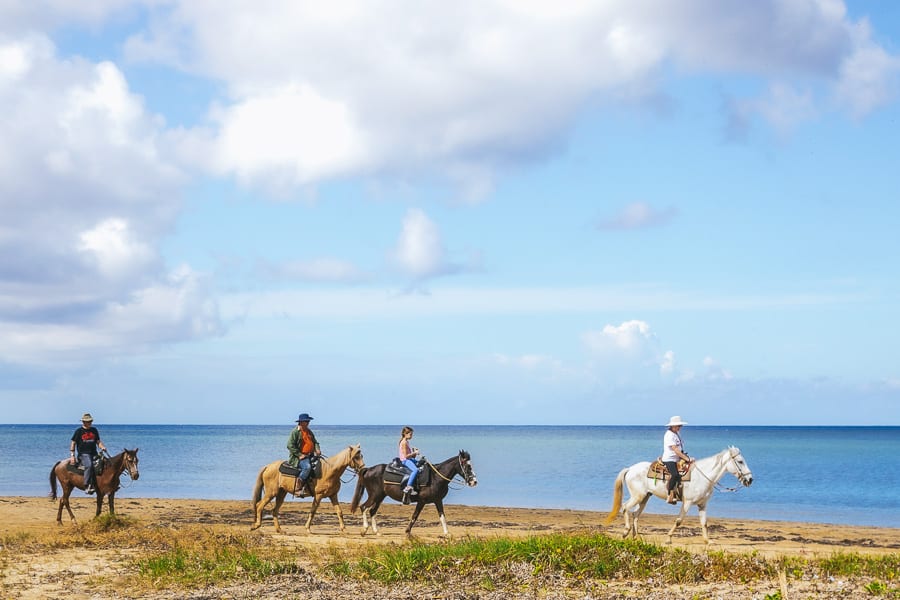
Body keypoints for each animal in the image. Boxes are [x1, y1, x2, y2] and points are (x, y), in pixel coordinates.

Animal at [350, 450, 478, 540]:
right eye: (468, 466)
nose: (474, 482)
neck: (436, 477)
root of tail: (368, 469)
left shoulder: (438, 500)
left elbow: (442, 517)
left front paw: (447, 533)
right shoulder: (422, 501)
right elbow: (415, 516)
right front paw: (407, 532)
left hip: (380, 496)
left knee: (372, 511)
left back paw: (376, 532)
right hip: (374, 495)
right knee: (363, 507)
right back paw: (364, 530)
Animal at [604, 446, 752, 544]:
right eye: (740, 461)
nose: (750, 479)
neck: (702, 476)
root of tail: (630, 469)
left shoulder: (702, 504)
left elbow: (704, 523)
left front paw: (707, 541)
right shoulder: (687, 502)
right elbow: (679, 520)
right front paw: (668, 538)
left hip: (645, 497)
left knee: (635, 514)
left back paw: (635, 537)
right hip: (637, 496)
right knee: (625, 507)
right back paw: (625, 532)